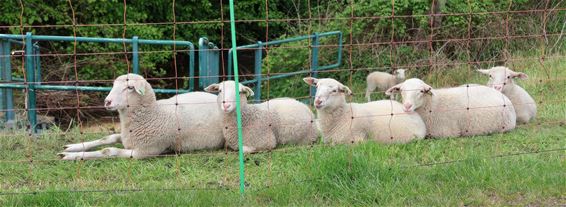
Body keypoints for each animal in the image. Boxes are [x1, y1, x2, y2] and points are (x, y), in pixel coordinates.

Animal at [58, 73, 224, 159]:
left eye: (130, 87)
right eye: (113, 85)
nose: (107, 102)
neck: (153, 115)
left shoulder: (144, 151)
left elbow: (108, 150)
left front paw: (71, 156)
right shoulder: (126, 136)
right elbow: (107, 138)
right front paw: (72, 147)